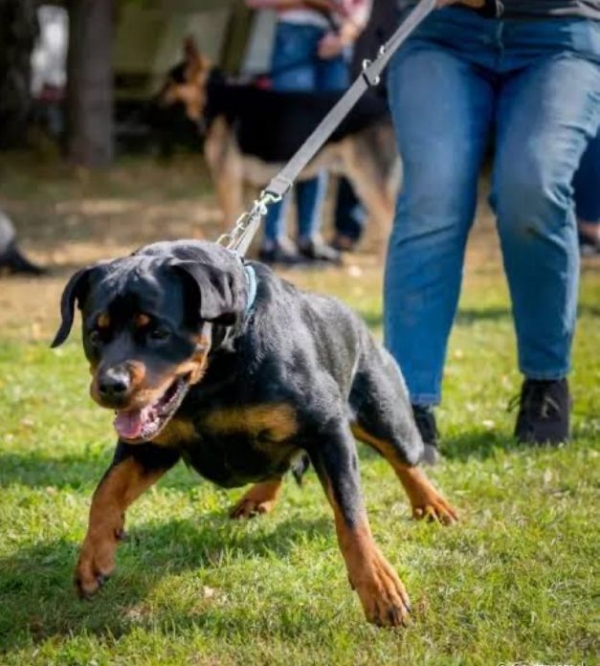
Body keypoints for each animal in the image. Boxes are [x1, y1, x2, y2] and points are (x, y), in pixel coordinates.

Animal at [54, 240, 458, 628]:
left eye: (158, 332)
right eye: (95, 334)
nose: (110, 385)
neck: (214, 374)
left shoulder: (326, 430)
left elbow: (351, 515)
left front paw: (379, 587)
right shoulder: (151, 447)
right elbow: (105, 491)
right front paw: (93, 557)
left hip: (383, 412)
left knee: (405, 459)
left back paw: (432, 504)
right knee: (279, 463)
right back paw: (258, 497)